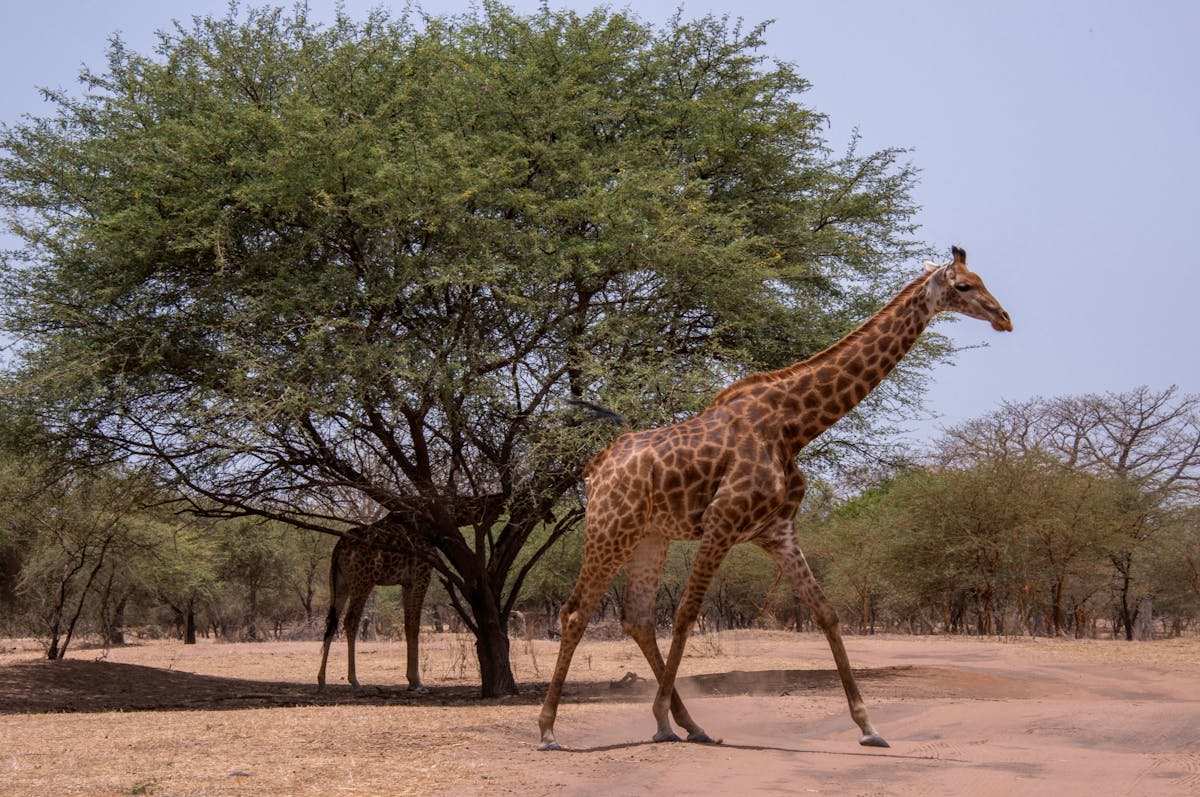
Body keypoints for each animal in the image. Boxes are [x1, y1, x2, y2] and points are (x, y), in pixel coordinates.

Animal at [316, 516, 434, 691]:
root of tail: (339, 547)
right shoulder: (422, 575)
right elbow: (414, 624)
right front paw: (417, 681)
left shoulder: (406, 583)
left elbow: (407, 624)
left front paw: (412, 679)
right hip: (363, 581)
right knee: (350, 620)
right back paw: (355, 680)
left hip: (339, 582)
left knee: (331, 622)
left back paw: (322, 679)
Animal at [537, 246, 1012, 748]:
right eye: (963, 285)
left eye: (980, 279)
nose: (1004, 318)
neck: (794, 426)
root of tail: (595, 469)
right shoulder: (723, 522)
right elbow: (687, 613)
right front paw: (658, 713)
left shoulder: (777, 530)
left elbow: (826, 612)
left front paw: (868, 726)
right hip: (611, 528)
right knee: (575, 612)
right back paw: (551, 729)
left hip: (650, 535)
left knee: (638, 618)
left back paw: (687, 725)